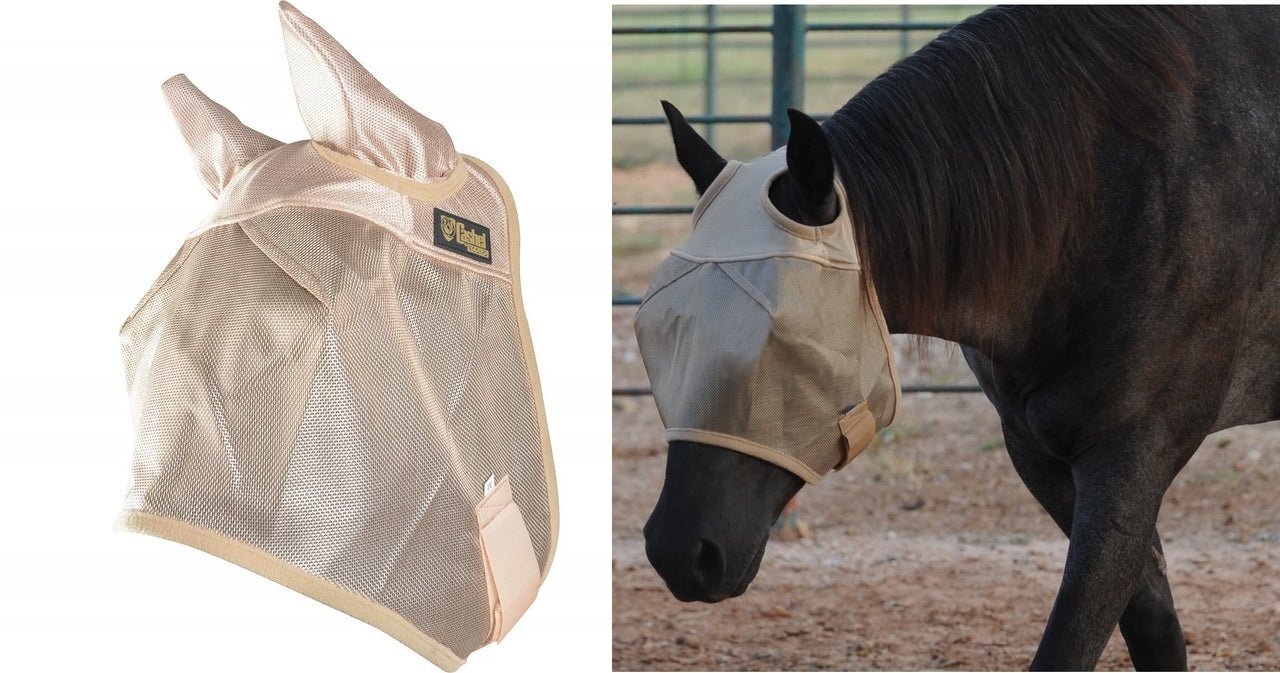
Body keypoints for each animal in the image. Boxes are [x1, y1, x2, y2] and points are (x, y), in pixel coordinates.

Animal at [637, 7, 1280, 670]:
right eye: (660, 331)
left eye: (783, 336)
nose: (680, 552)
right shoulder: (1037, 449)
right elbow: (1152, 621)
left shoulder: (1134, 452)